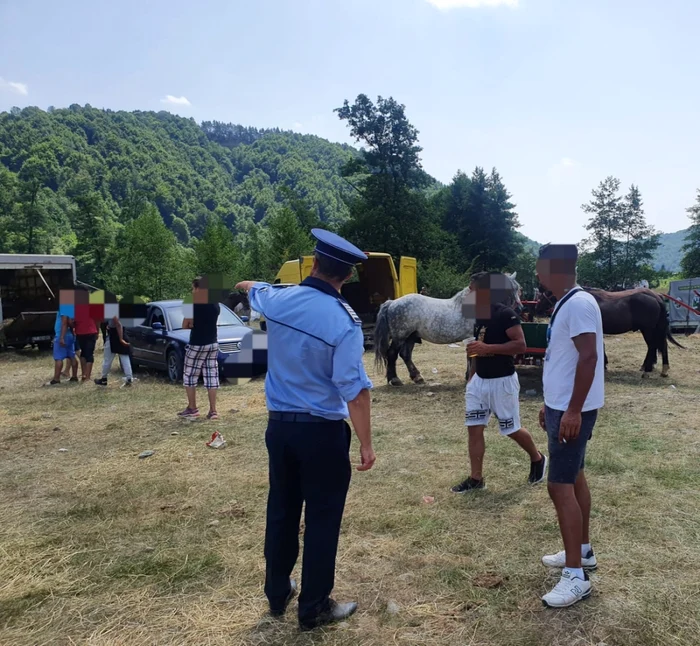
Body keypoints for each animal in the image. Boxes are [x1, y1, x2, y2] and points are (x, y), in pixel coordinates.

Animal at [378, 272, 520, 384]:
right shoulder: (472, 336)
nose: (519, 308)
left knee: (405, 354)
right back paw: (394, 379)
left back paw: (417, 377)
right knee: (392, 354)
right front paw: (469, 376)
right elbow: (470, 357)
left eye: (517, 288)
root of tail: (392, 302)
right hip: (400, 337)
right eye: (509, 288)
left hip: (411, 336)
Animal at [536, 288, 684, 374]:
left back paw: (648, 370)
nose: (536, 307)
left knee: (653, 346)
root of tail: (657, 298)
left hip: (648, 329)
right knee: (661, 345)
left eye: (544, 295)